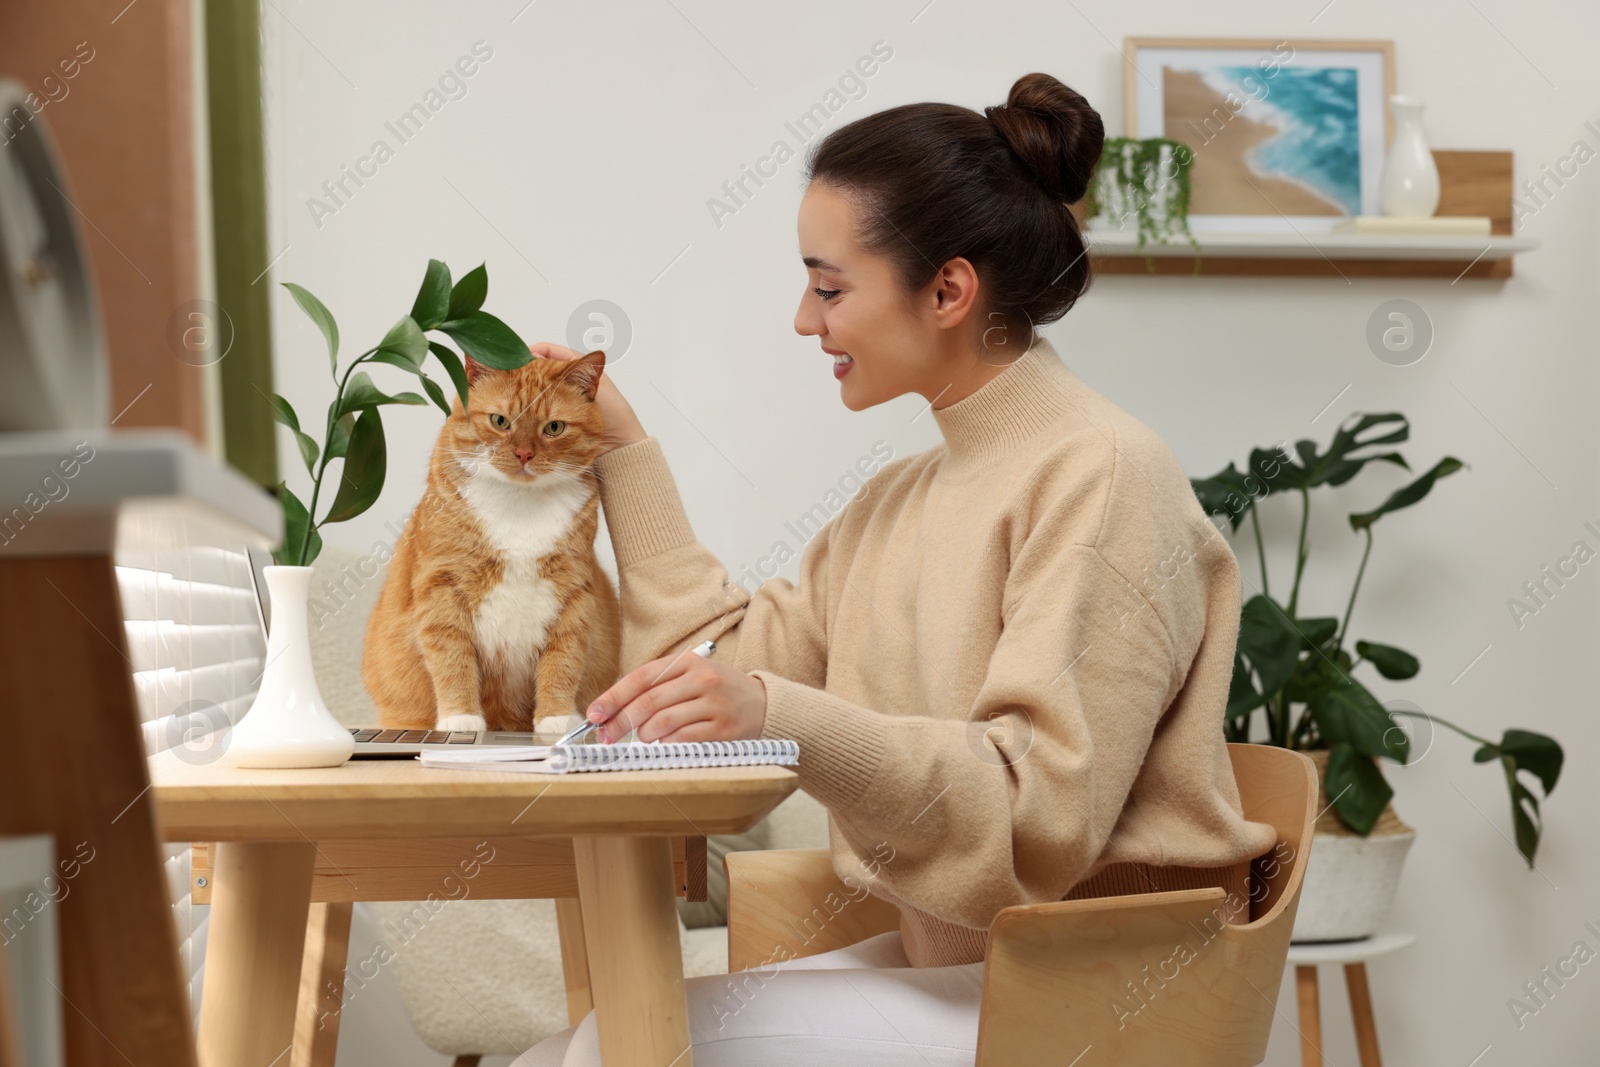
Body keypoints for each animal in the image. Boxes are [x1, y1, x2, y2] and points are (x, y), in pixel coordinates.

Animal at [363, 350, 617, 735]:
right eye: (500, 421)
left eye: (554, 428)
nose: (524, 454)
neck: (519, 504)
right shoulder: (441, 585)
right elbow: (452, 656)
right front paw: (460, 718)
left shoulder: (574, 590)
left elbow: (564, 659)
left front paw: (556, 718)